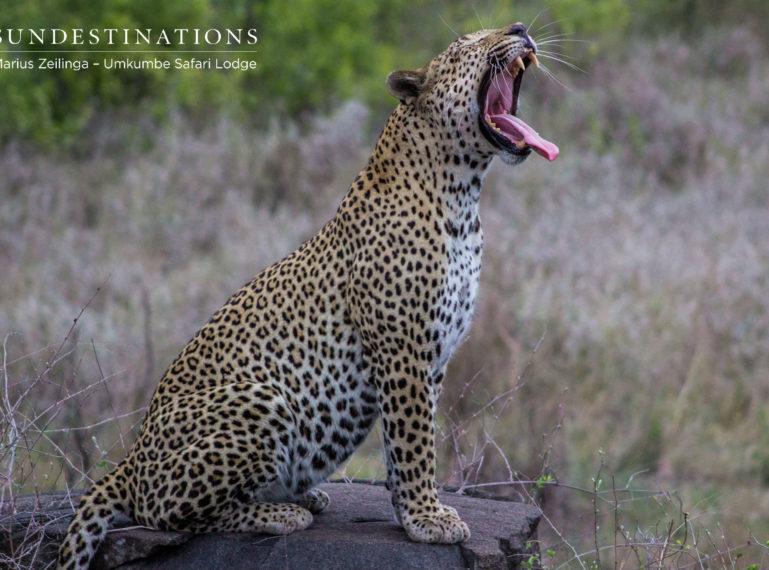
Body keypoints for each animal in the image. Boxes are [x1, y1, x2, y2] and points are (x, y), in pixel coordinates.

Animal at [57, 20, 556, 564]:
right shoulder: (403, 351)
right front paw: (426, 518)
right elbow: (414, 441)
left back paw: (301, 496)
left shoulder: (434, 358)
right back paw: (280, 512)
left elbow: (410, 441)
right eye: (468, 43)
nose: (520, 27)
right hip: (263, 399)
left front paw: (414, 511)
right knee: (166, 513)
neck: (463, 195)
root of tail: (128, 462)